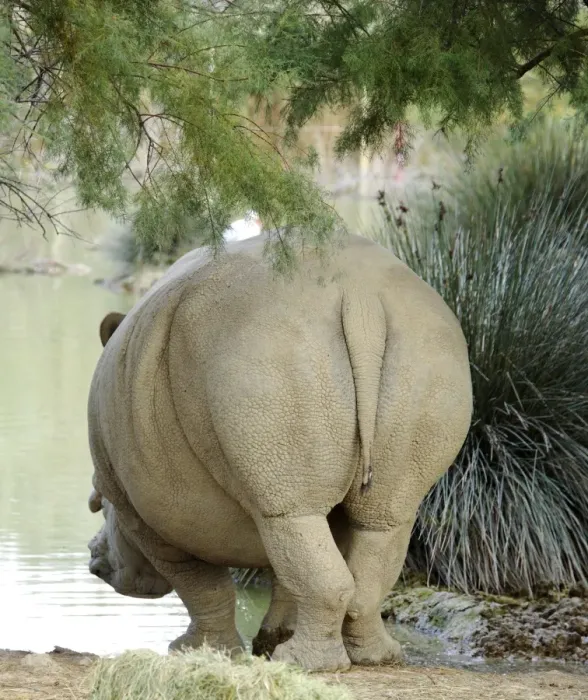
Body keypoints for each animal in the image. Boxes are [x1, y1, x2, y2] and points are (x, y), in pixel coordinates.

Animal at [87, 233, 472, 672]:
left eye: (97, 504)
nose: (92, 559)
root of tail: (361, 299)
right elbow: (289, 572)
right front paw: (270, 642)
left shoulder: (146, 511)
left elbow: (201, 585)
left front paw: (196, 651)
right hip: (423, 356)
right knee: (380, 524)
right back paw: (375, 659)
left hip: (267, 356)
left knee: (296, 522)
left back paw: (305, 665)